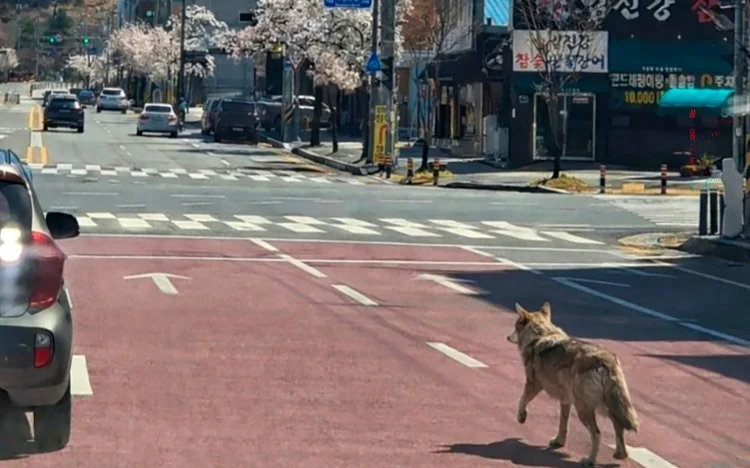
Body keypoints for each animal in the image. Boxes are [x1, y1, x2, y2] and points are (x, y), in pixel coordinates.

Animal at [507, 302, 639, 466]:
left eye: (515, 326)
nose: (507, 337)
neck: (540, 335)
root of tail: (606, 360)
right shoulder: (565, 400)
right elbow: (563, 424)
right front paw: (559, 442)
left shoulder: (533, 384)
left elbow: (522, 400)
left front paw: (521, 417)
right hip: (605, 406)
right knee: (618, 425)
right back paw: (620, 454)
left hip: (584, 409)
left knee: (597, 434)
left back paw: (589, 460)